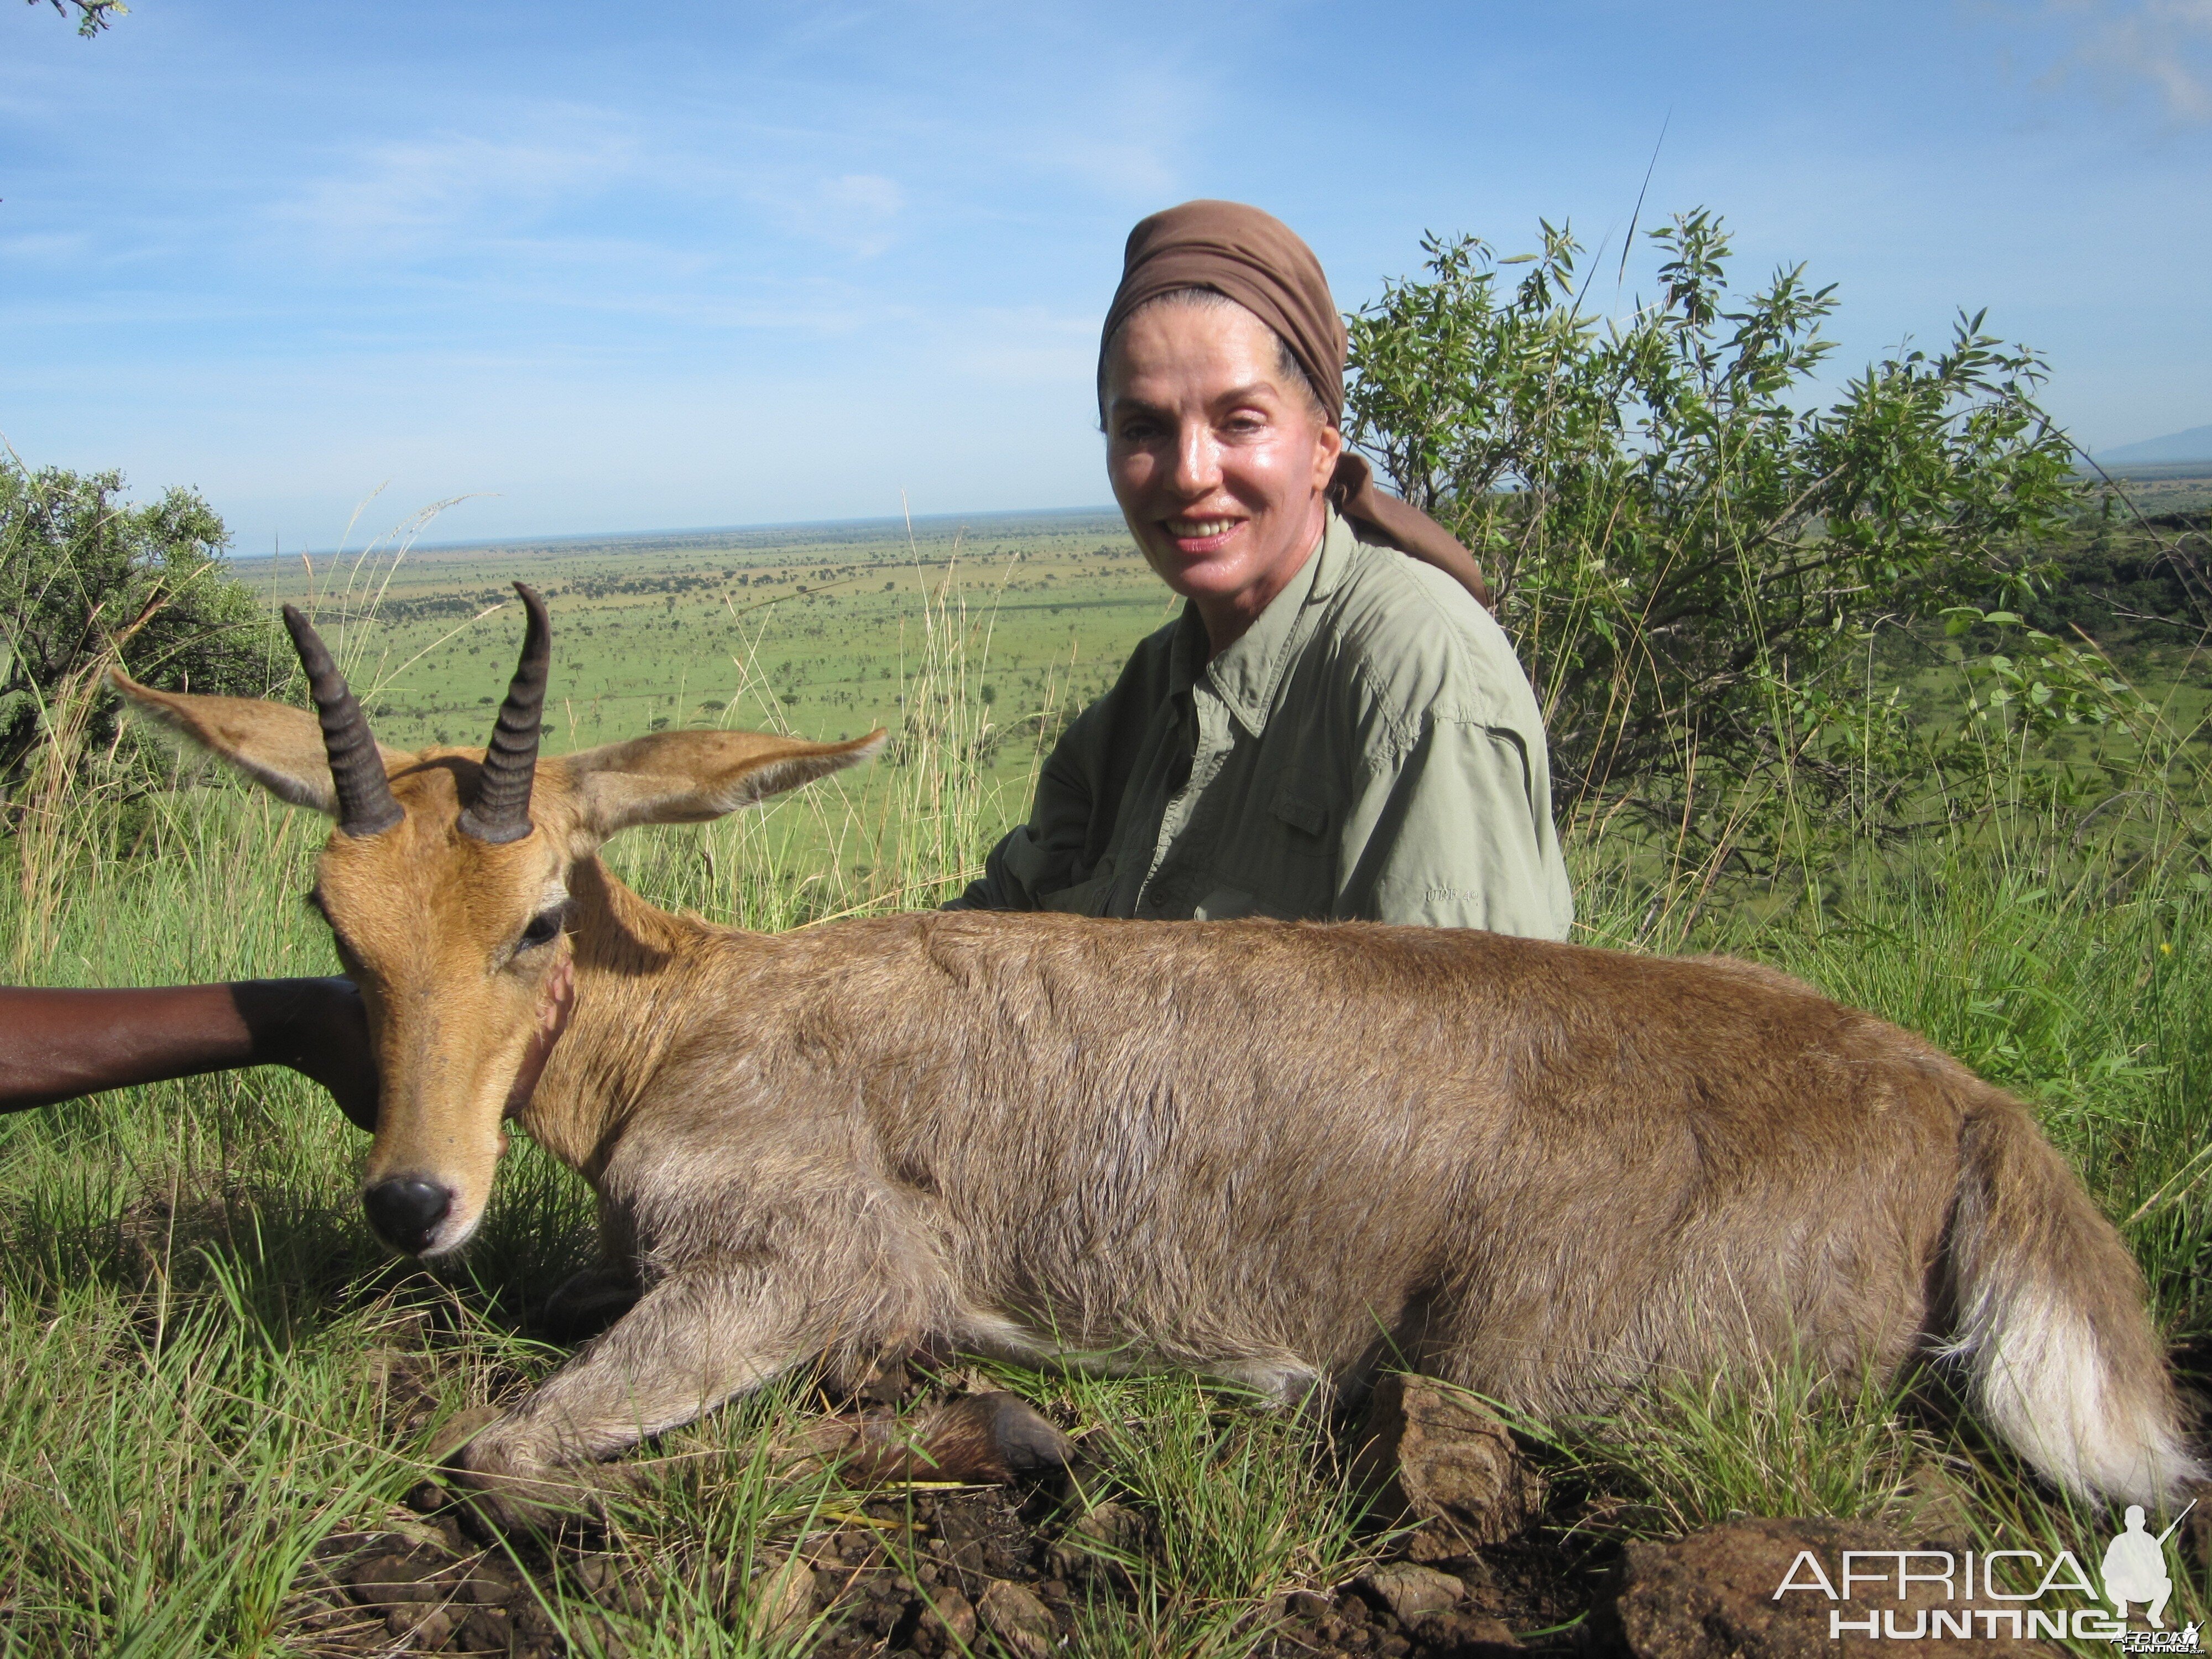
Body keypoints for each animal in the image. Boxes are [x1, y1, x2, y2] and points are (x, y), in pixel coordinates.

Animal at [121, 584, 2194, 1531]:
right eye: (337, 918)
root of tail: (1960, 1102)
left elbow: (496, 1451)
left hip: (1543, 1365)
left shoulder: (797, 1270)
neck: (705, 1006)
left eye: (541, 911)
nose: (415, 1198)